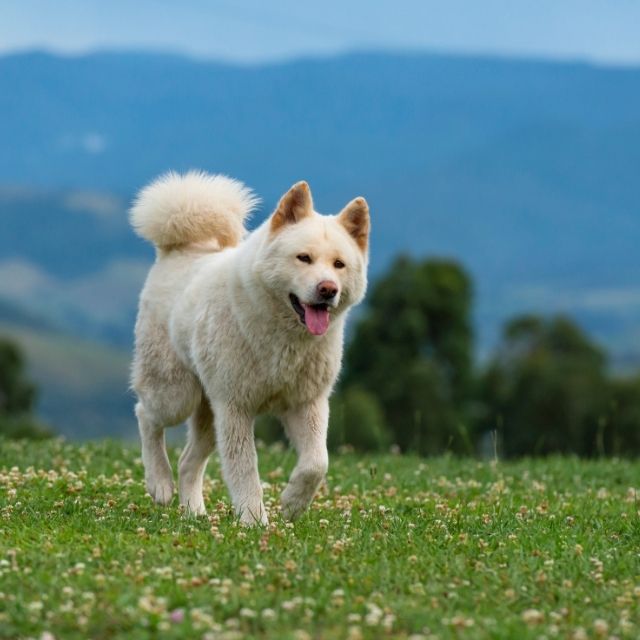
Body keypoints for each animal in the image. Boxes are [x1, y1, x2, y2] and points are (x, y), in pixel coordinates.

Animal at [129, 172, 370, 524]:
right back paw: (159, 483)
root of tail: (179, 251)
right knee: (146, 415)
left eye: (339, 264)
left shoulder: (306, 403)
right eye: (304, 258)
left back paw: (194, 512)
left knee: (188, 461)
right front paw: (254, 520)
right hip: (176, 394)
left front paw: (293, 503)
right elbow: (245, 469)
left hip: (208, 412)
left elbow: (317, 463)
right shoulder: (236, 408)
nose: (328, 289)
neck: (284, 337)